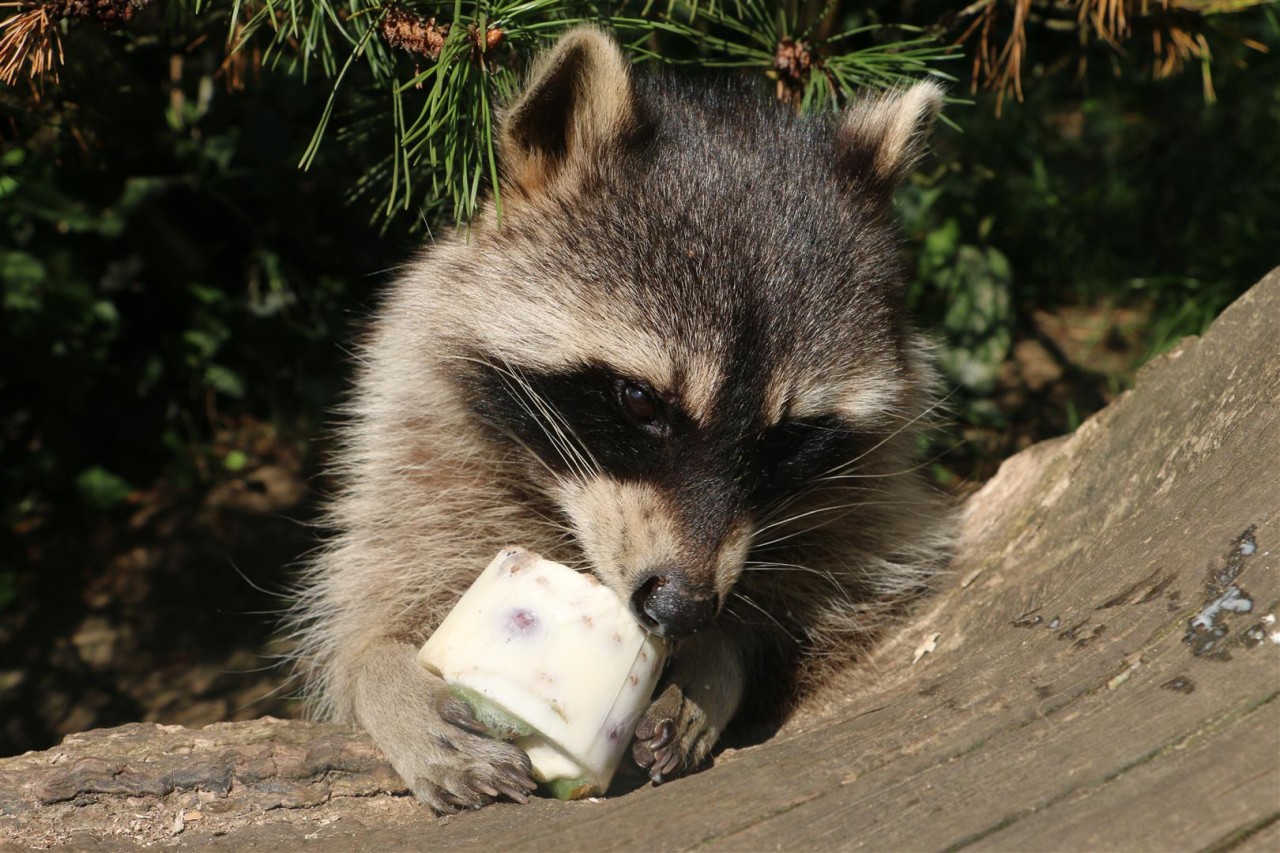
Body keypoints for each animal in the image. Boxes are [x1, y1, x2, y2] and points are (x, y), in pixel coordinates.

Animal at [290, 28, 952, 809]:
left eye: (786, 437)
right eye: (639, 401)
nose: (684, 609)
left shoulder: (868, 504)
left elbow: (830, 600)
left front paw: (717, 656)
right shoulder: (421, 444)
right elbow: (371, 610)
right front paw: (384, 672)